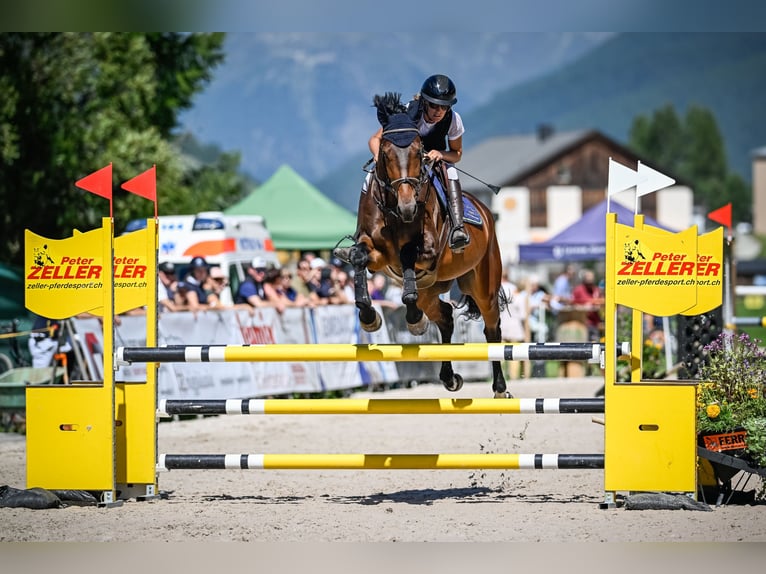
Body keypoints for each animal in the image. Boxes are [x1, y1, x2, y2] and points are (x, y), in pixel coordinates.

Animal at [335, 93, 509, 398]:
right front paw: (369, 317)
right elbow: (358, 257)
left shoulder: (425, 253)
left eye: (419, 152)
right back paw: (450, 378)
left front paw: (414, 320)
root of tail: (486, 212)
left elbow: (407, 256)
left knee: (491, 328)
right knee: (446, 317)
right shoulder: (377, 253)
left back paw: (499, 388)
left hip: (482, 284)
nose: (408, 207)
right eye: (386, 152)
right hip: (431, 290)